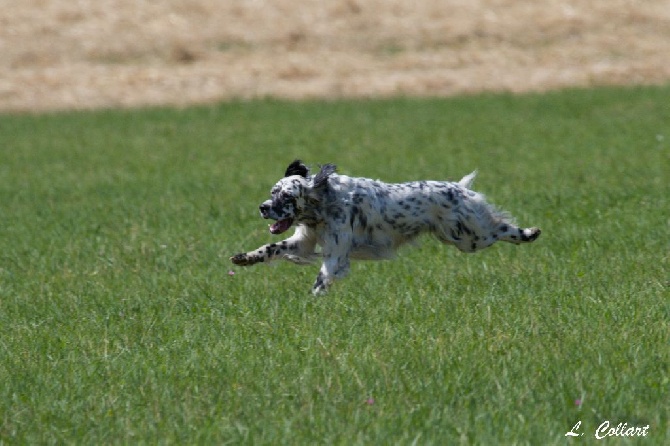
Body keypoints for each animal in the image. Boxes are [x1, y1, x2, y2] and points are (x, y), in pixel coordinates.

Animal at [231, 161, 540, 296]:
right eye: (272, 192)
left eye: (286, 196)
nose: (263, 207)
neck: (326, 201)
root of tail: (459, 188)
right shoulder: (304, 242)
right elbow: (271, 247)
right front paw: (244, 257)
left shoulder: (336, 254)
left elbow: (321, 279)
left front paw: (313, 301)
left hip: (468, 236)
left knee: (501, 228)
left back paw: (529, 233)